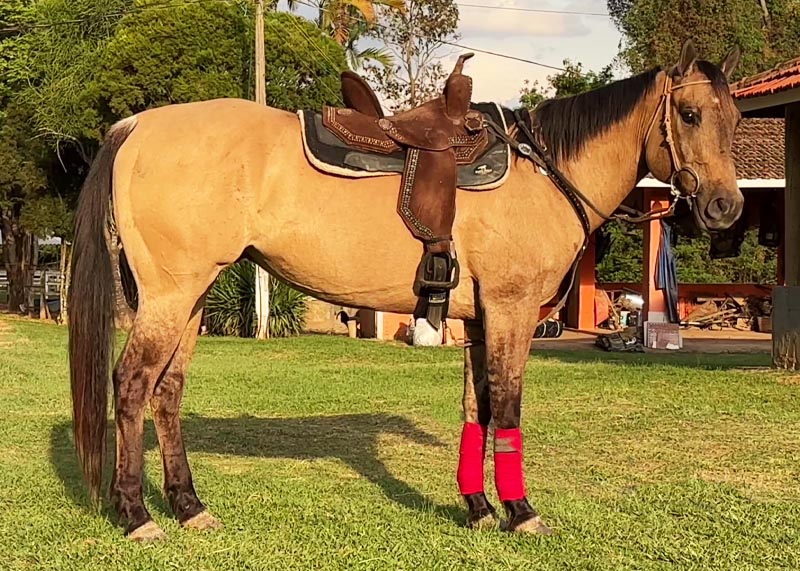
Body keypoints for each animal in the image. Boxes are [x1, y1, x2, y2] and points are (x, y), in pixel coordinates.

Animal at [68, 40, 744, 541]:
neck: (544, 172)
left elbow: (478, 407)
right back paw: (137, 515)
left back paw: (189, 506)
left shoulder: (478, 318)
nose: (725, 206)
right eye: (689, 115)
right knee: (132, 384)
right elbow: (509, 406)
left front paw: (477, 507)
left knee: (167, 391)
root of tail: (135, 127)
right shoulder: (511, 309)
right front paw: (520, 514)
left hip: (189, 296)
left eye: (736, 119)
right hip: (170, 295)